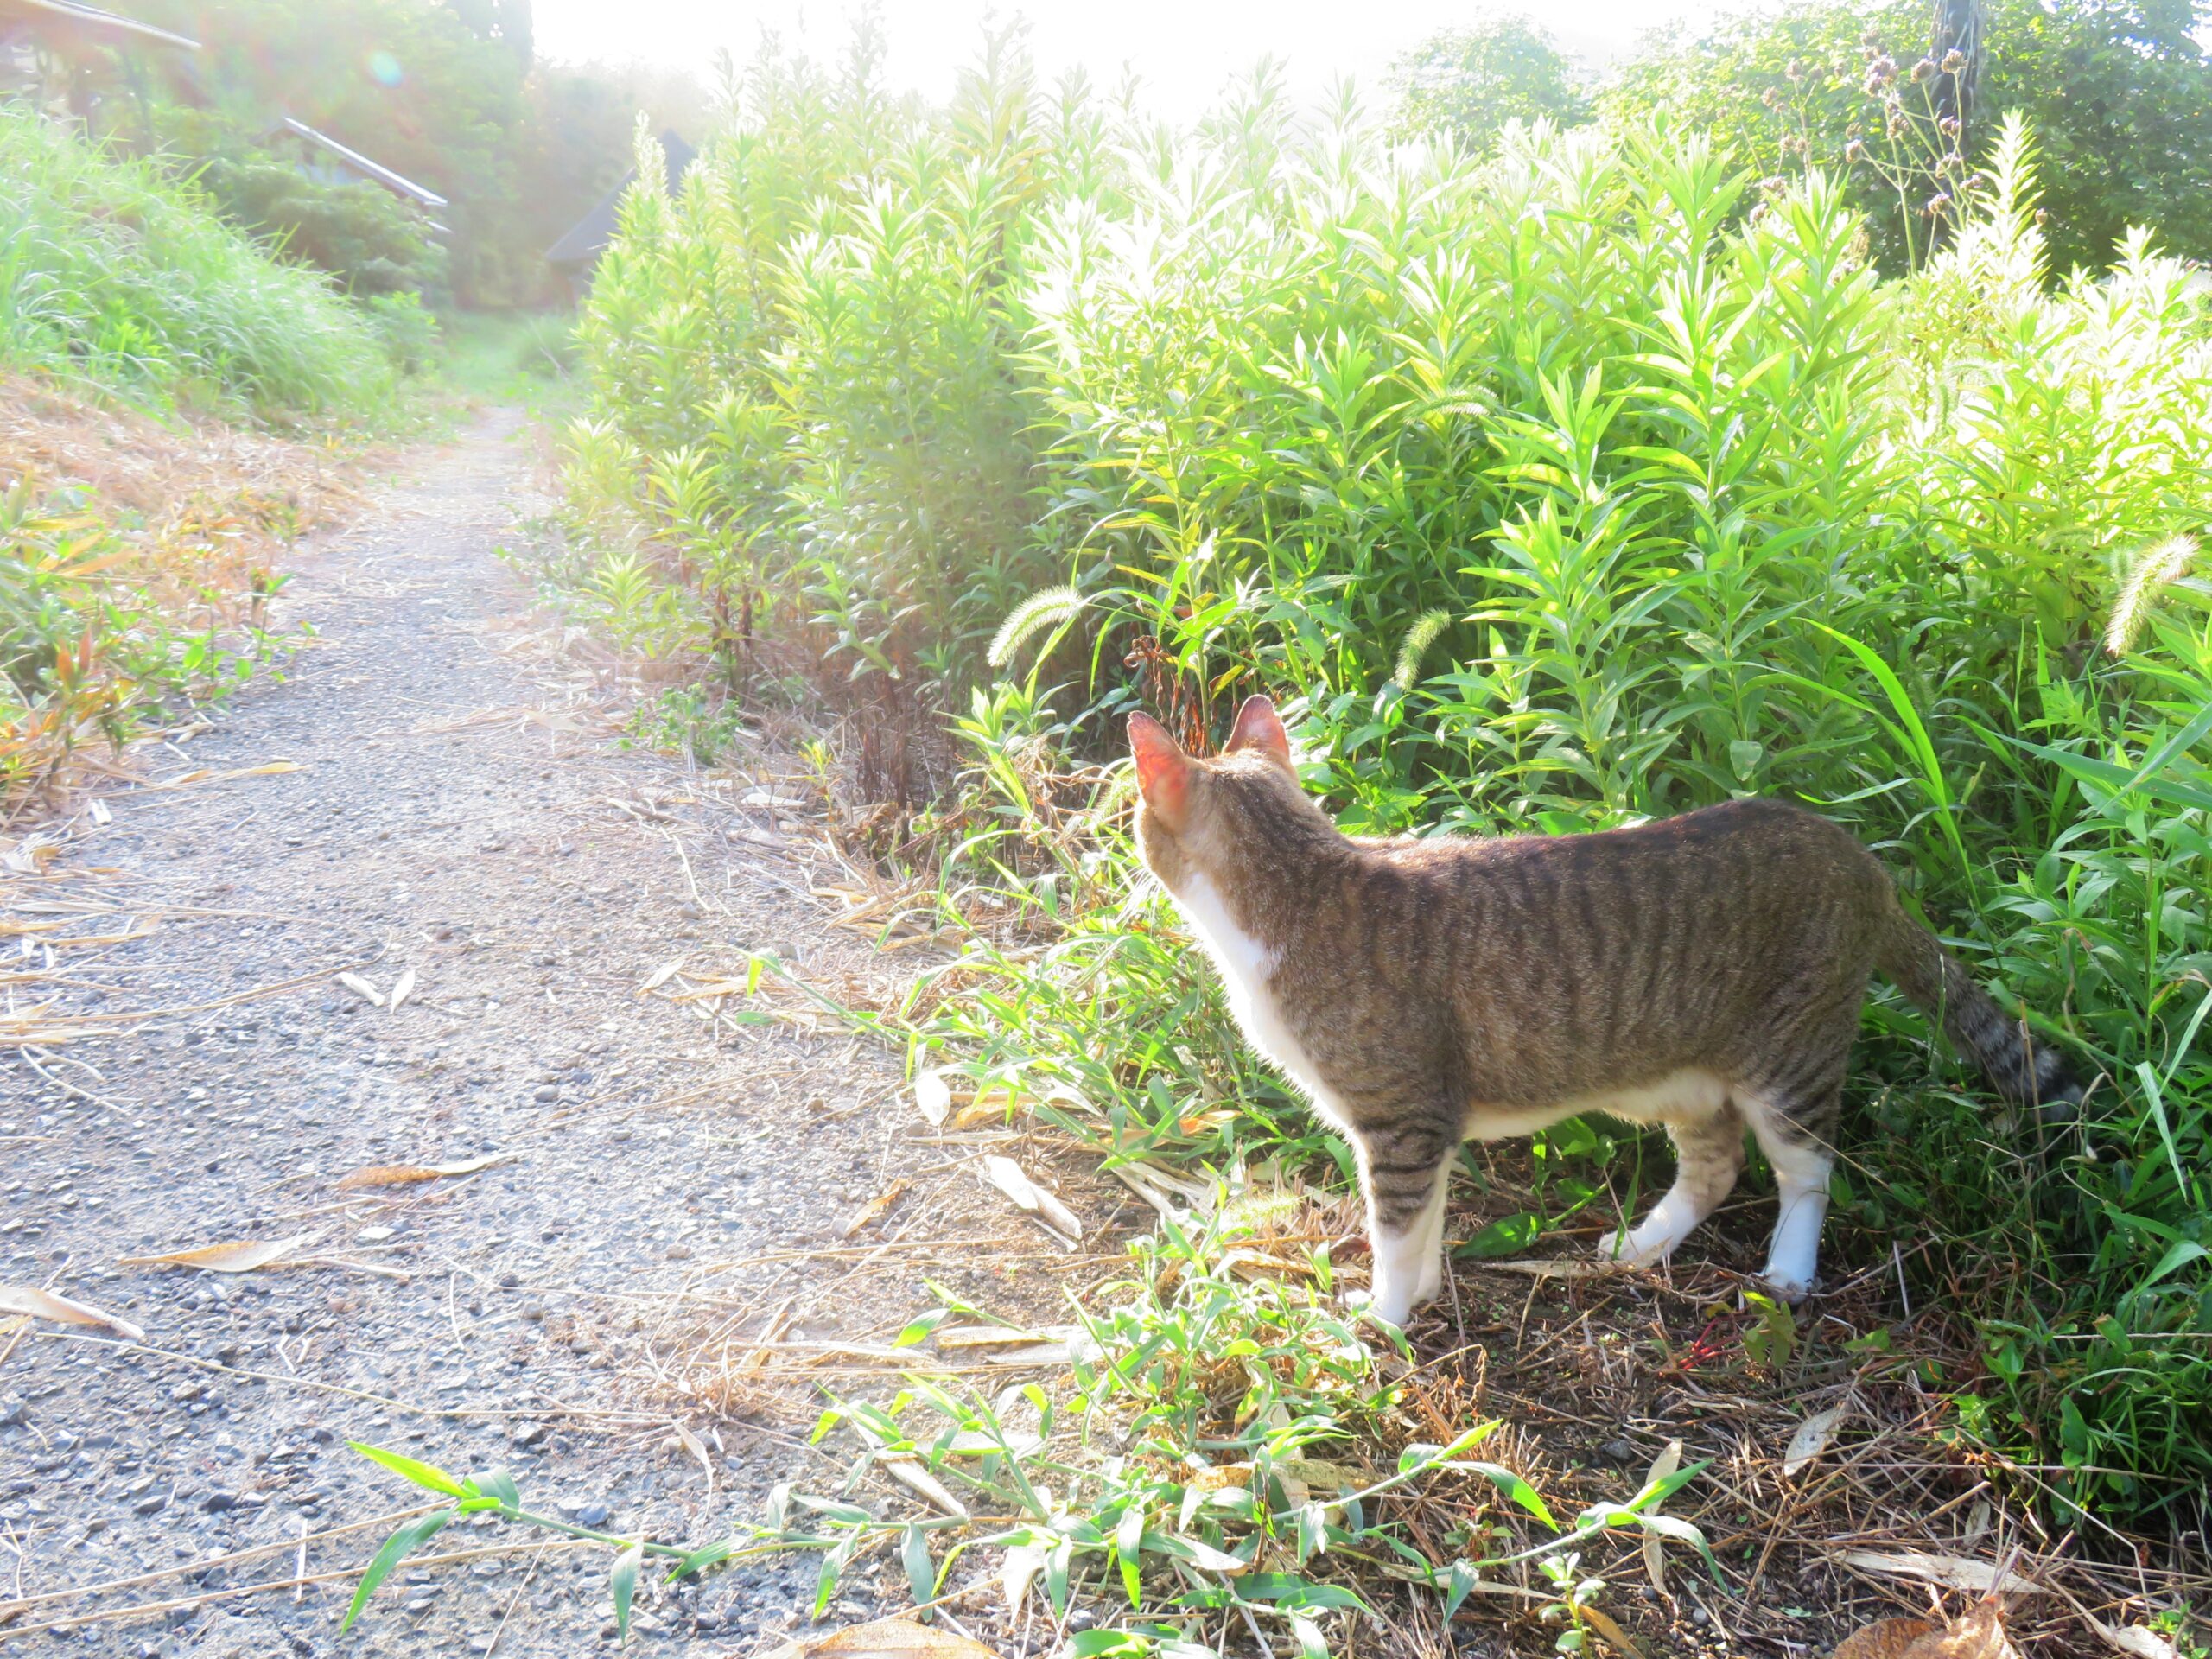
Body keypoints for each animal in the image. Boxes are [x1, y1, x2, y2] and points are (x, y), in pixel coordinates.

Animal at [1132, 694, 2079, 1336]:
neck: (1299, 887)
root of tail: (1860, 857)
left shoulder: (1400, 1122)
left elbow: (1395, 1229)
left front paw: (1386, 1315)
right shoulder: (1428, 1127)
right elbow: (1428, 1222)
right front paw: (1425, 1290)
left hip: (1790, 1060)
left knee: (1806, 1169)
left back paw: (1787, 1267)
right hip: (1679, 1079)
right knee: (1715, 1167)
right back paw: (1643, 1246)